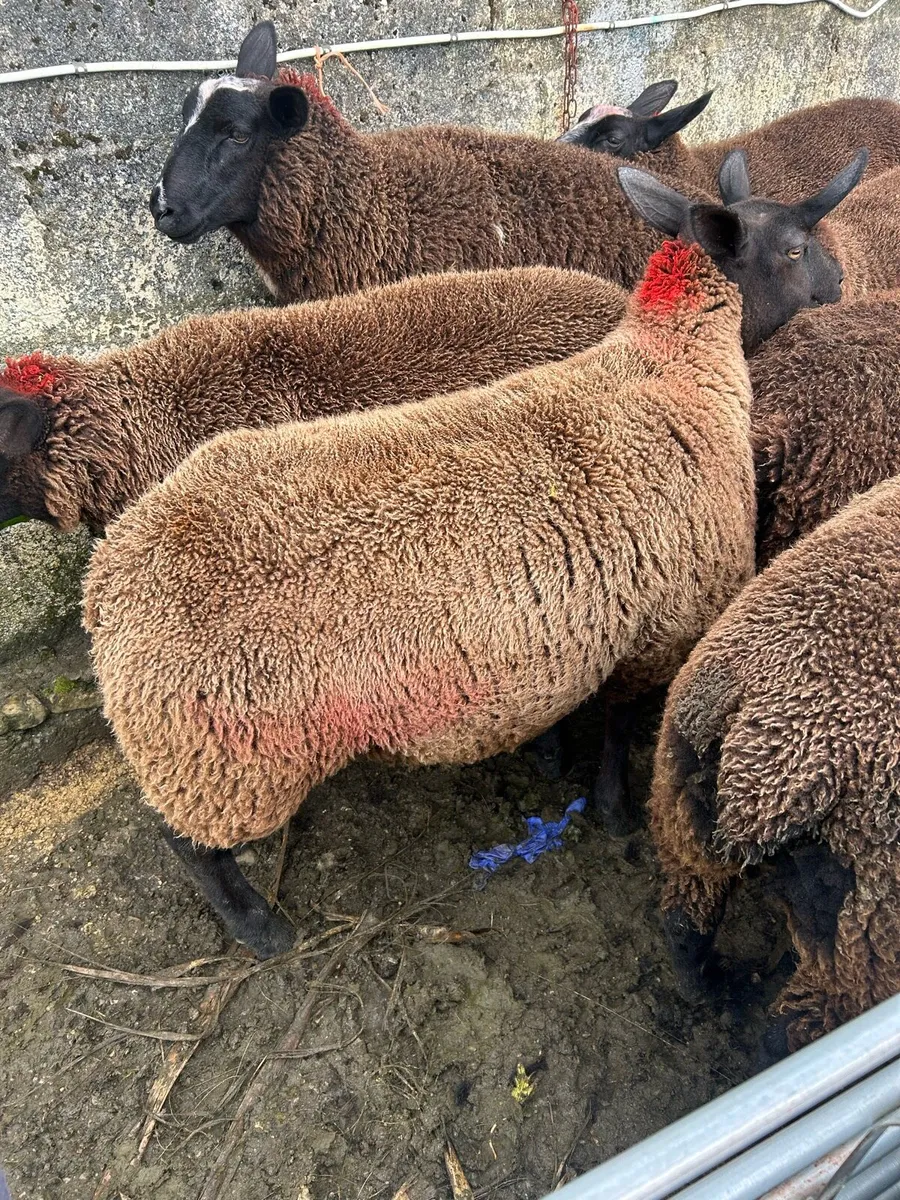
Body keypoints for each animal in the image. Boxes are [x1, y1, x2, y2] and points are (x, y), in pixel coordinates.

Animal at [83, 236, 756, 959]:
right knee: (187, 845)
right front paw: (614, 810)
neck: (674, 367)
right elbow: (618, 728)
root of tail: (107, 581)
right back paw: (261, 929)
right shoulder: (664, 629)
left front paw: (555, 759)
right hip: (218, 757)